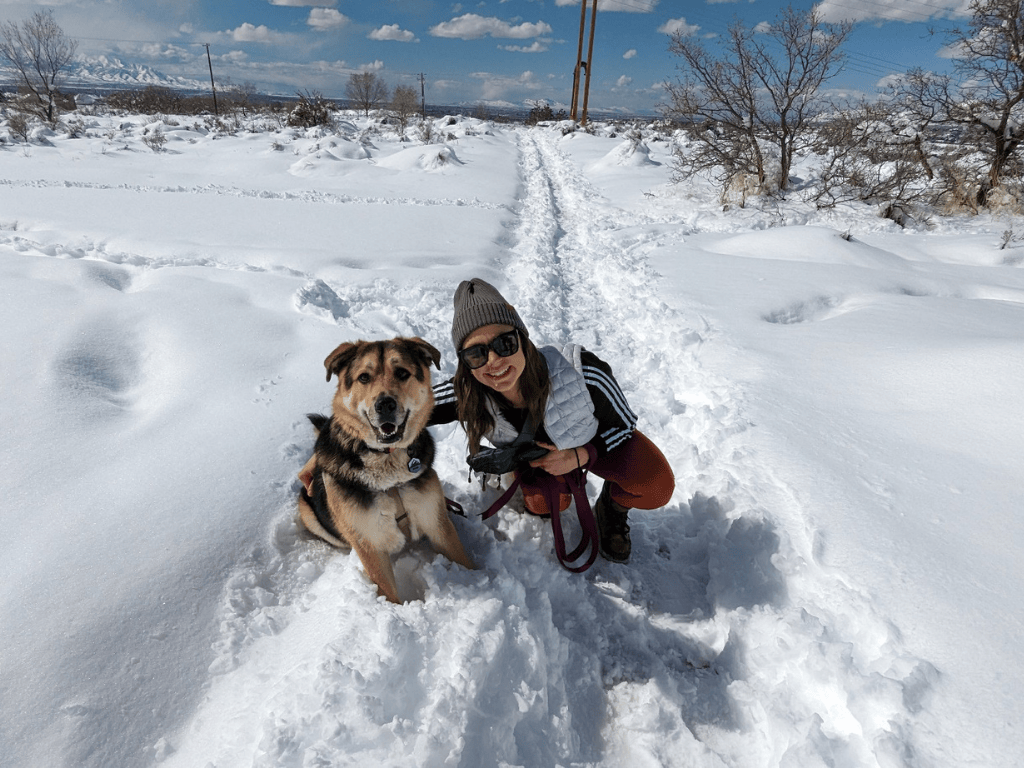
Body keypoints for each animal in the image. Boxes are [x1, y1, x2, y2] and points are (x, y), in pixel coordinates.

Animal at [294, 339, 473, 606]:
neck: (387, 461)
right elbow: (387, 591)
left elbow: (467, 563)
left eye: (402, 373)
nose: (385, 404)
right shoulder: (369, 543)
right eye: (364, 377)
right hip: (308, 511)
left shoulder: (437, 521)